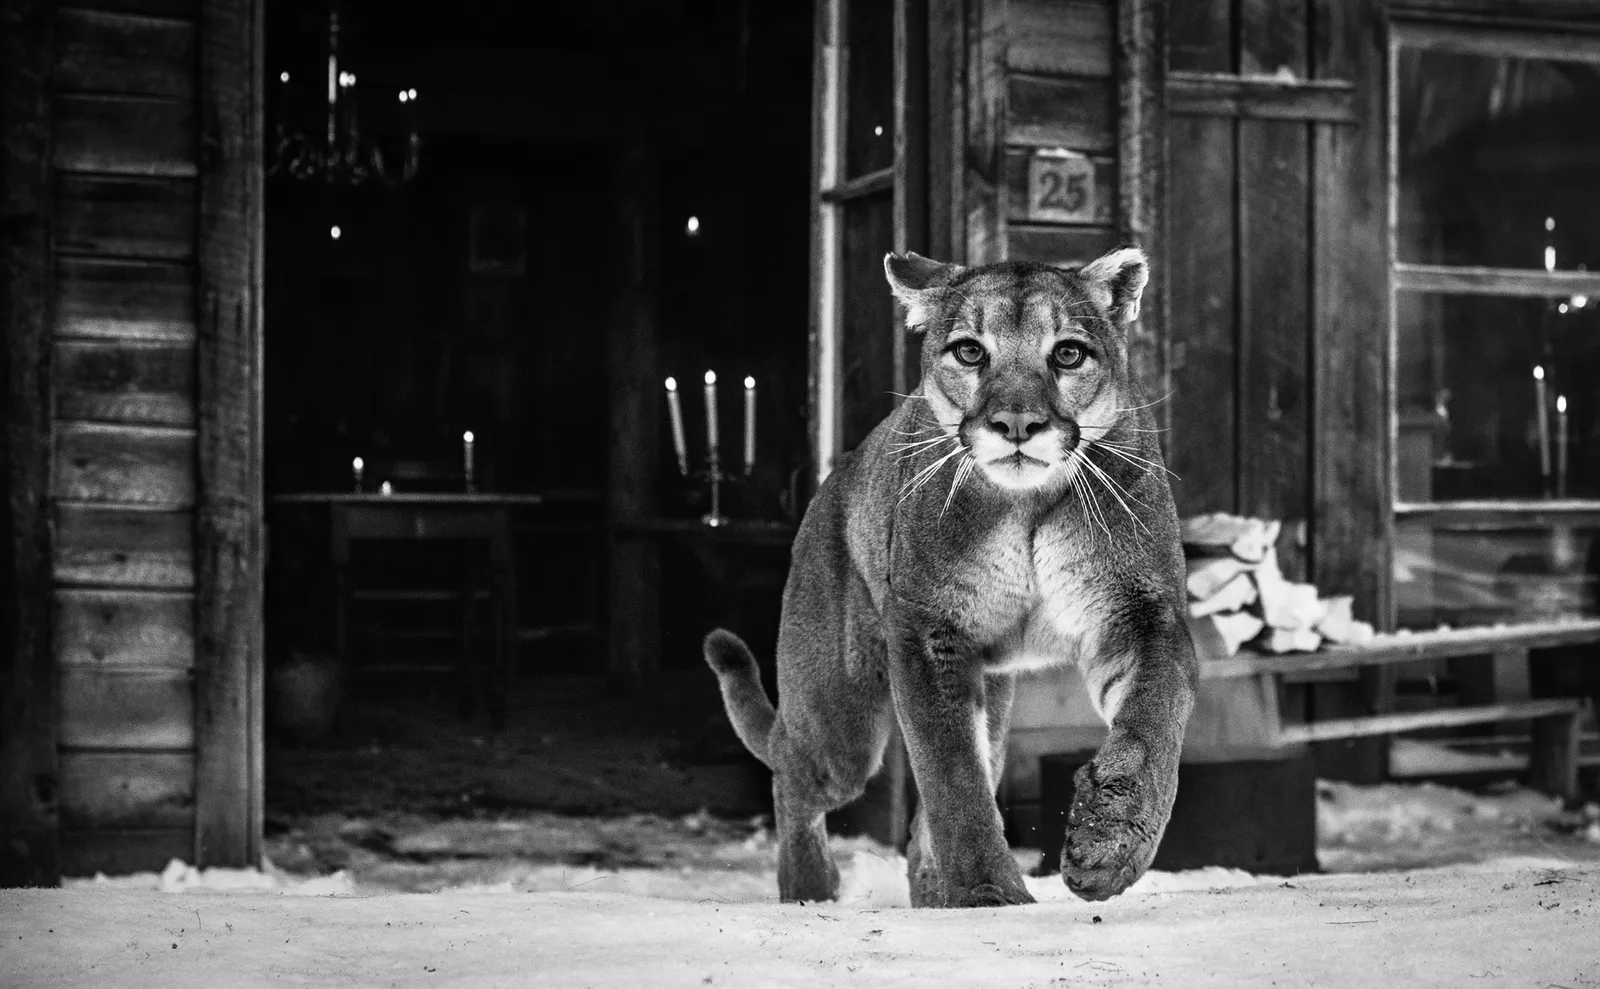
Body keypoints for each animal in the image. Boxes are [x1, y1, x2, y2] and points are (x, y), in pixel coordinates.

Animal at [703, 246, 1197, 907]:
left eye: (1068, 353)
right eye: (969, 352)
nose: (1017, 424)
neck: (1024, 505)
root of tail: (835, 479)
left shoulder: (1139, 611)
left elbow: (1152, 721)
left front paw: (1110, 844)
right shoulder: (929, 631)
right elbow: (953, 778)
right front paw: (988, 894)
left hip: (990, 693)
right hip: (841, 719)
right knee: (794, 766)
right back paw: (810, 889)